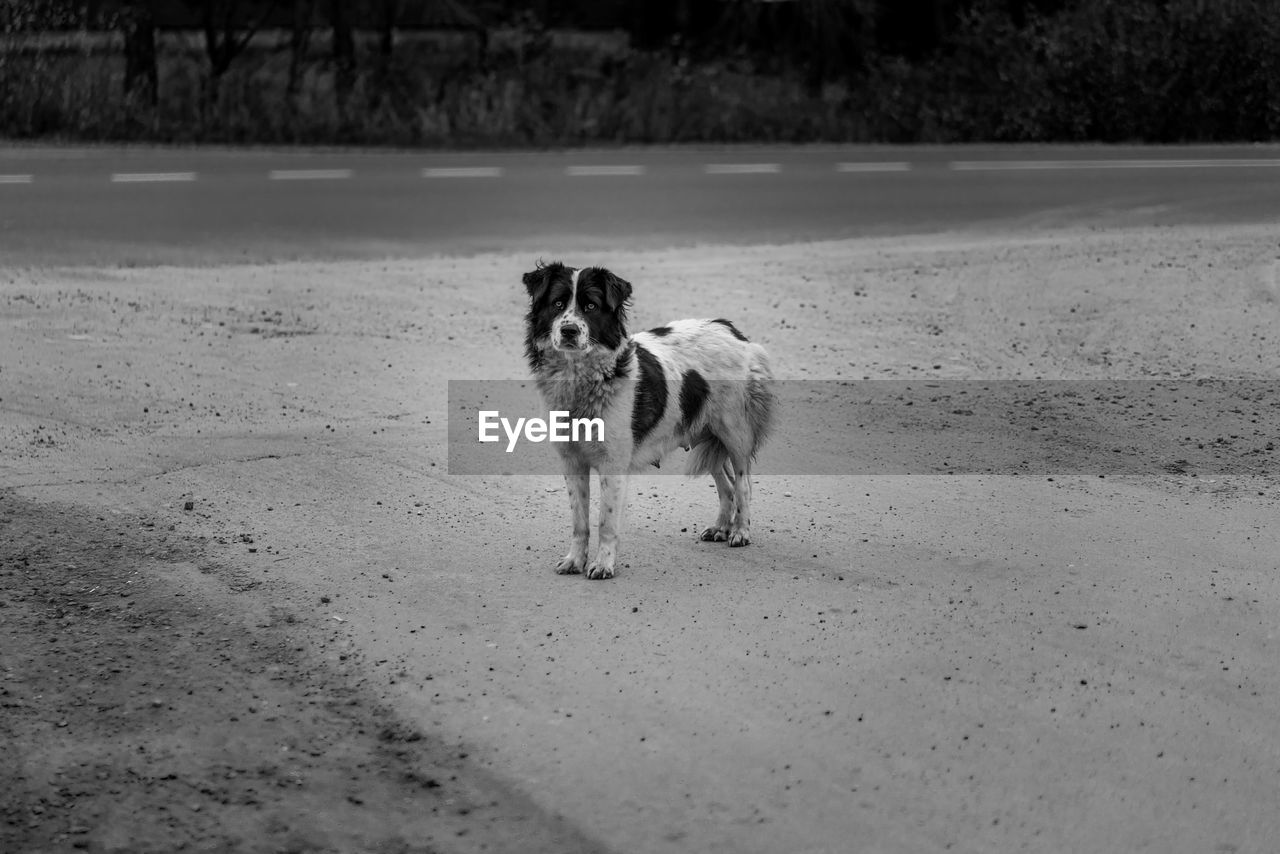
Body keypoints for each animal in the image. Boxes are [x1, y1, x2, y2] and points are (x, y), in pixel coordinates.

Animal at [517, 261, 768, 581]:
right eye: (558, 304)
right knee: (726, 485)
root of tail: (728, 327)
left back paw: (740, 531)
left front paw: (603, 564)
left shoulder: (613, 465)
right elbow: (580, 521)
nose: (569, 330)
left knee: (743, 484)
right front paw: (575, 560)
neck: (580, 378)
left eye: (590, 306)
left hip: (734, 433)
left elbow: (606, 521)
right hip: (707, 435)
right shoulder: (572, 462)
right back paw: (721, 527)